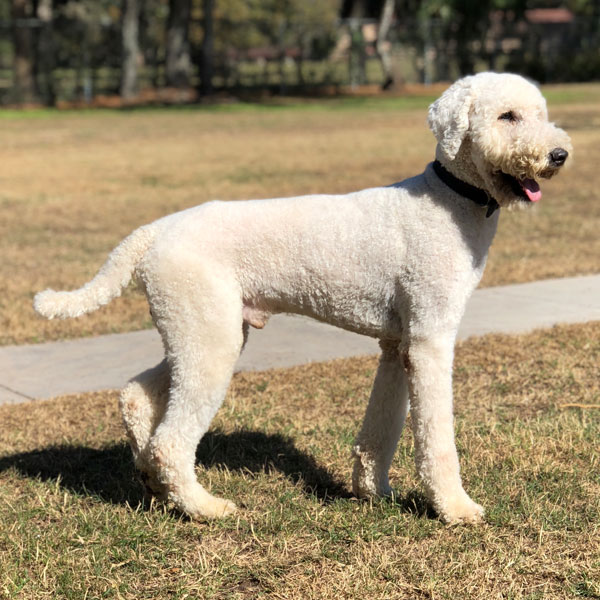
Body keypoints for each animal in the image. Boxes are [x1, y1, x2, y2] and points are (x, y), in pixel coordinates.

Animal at [35, 74, 568, 520]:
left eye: (541, 113)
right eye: (507, 116)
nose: (559, 154)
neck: (451, 199)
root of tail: (153, 231)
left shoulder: (398, 343)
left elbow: (383, 426)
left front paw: (373, 492)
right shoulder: (430, 338)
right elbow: (435, 436)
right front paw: (455, 508)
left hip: (198, 330)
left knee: (136, 396)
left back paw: (154, 485)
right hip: (210, 339)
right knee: (171, 439)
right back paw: (203, 508)